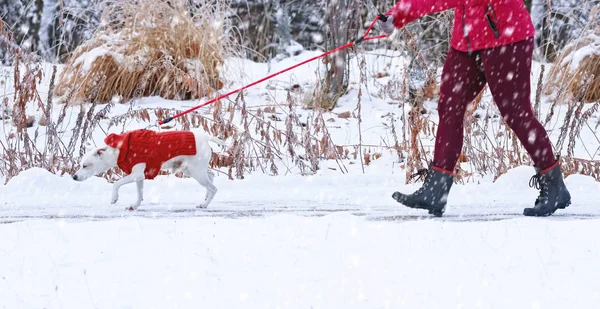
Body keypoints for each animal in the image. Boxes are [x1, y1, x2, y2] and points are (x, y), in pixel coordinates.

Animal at [72, 127, 226, 209]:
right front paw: (134, 206)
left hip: (196, 171)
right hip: (191, 169)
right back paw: (205, 197)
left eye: (85, 165)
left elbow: (116, 184)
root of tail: (205, 137)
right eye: (80, 165)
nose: (74, 177)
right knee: (211, 175)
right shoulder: (140, 177)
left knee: (214, 188)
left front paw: (114, 198)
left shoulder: (136, 175)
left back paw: (204, 204)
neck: (118, 149)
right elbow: (139, 194)